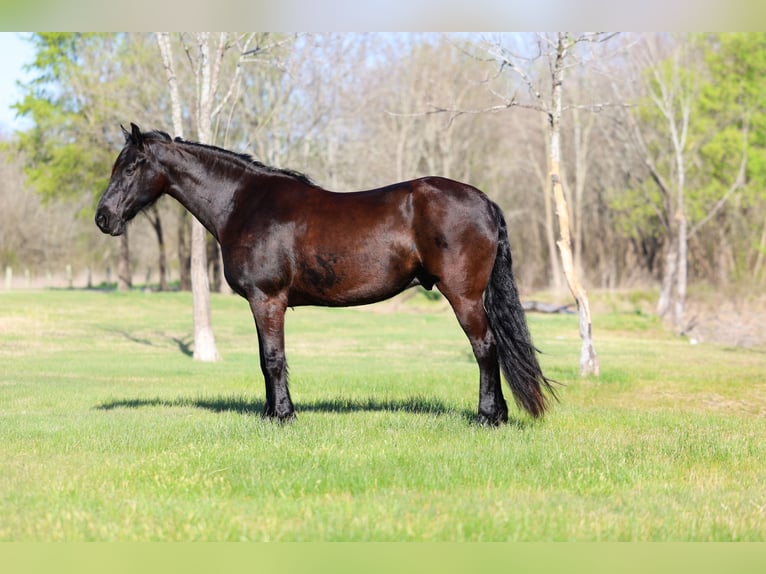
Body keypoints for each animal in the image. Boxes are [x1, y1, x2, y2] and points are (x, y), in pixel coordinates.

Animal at [95, 123, 557, 425]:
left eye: (132, 166)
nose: (103, 218)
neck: (244, 204)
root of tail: (485, 202)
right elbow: (265, 359)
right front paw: (271, 413)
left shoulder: (267, 299)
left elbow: (273, 359)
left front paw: (282, 417)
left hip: (463, 296)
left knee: (485, 348)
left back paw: (488, 417)